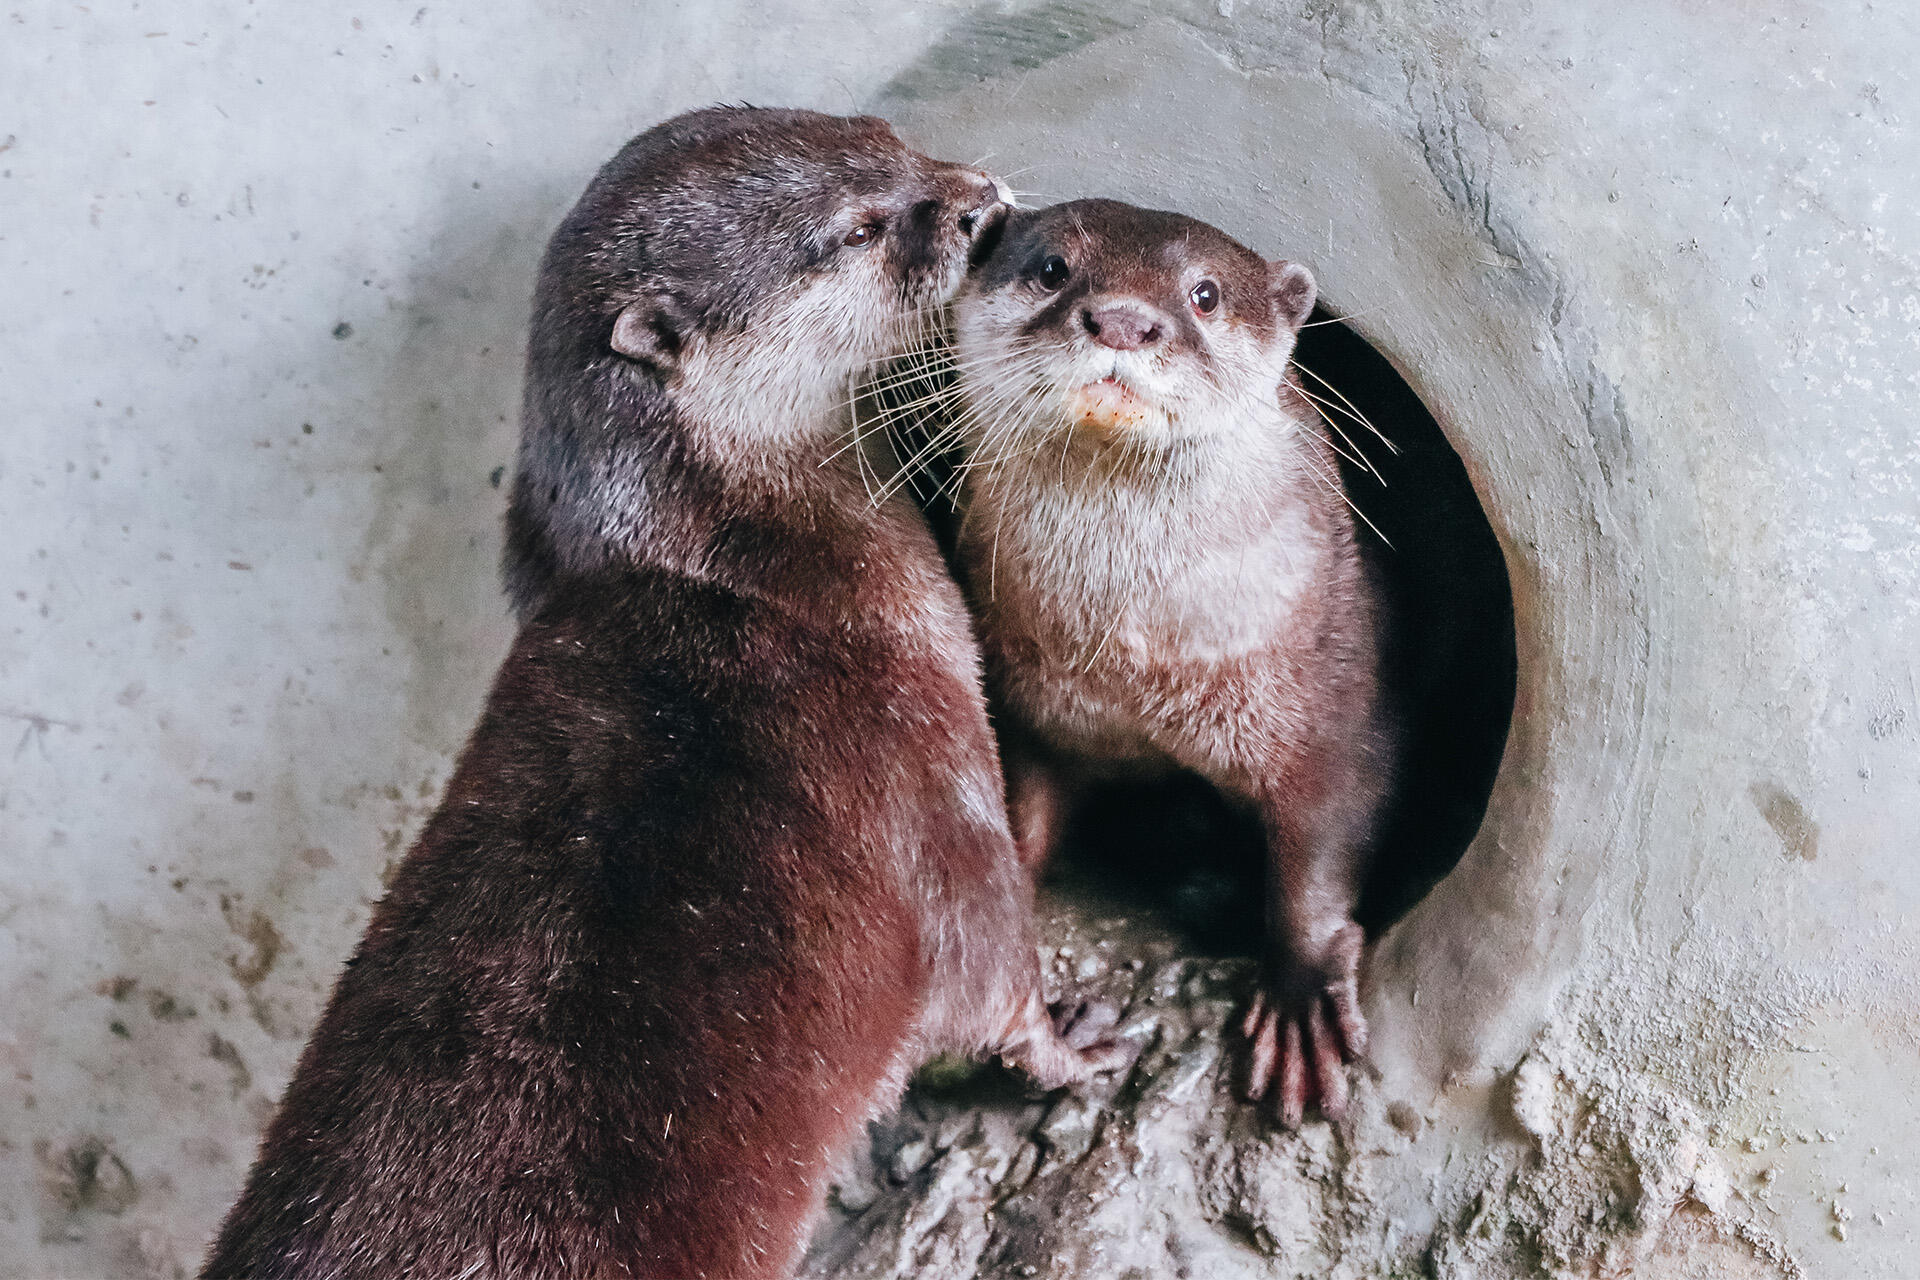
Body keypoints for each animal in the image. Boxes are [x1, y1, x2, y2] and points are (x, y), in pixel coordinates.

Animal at [202, 109, 1119, 1280]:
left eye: (884, 133)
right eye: (860, 227)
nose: (980, 202)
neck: (755, 575)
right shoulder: (928, 772)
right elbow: (987, 971)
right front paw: (1073, 1042)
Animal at [926, 199, 1397, 1126]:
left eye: (1204, 293)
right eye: (1052, 267)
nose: (1122, 320)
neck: (1142, 669)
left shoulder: (1338, 705)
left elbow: (1316, 863)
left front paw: (1300, 1010)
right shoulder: (1036, 711)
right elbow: (1024, 809)